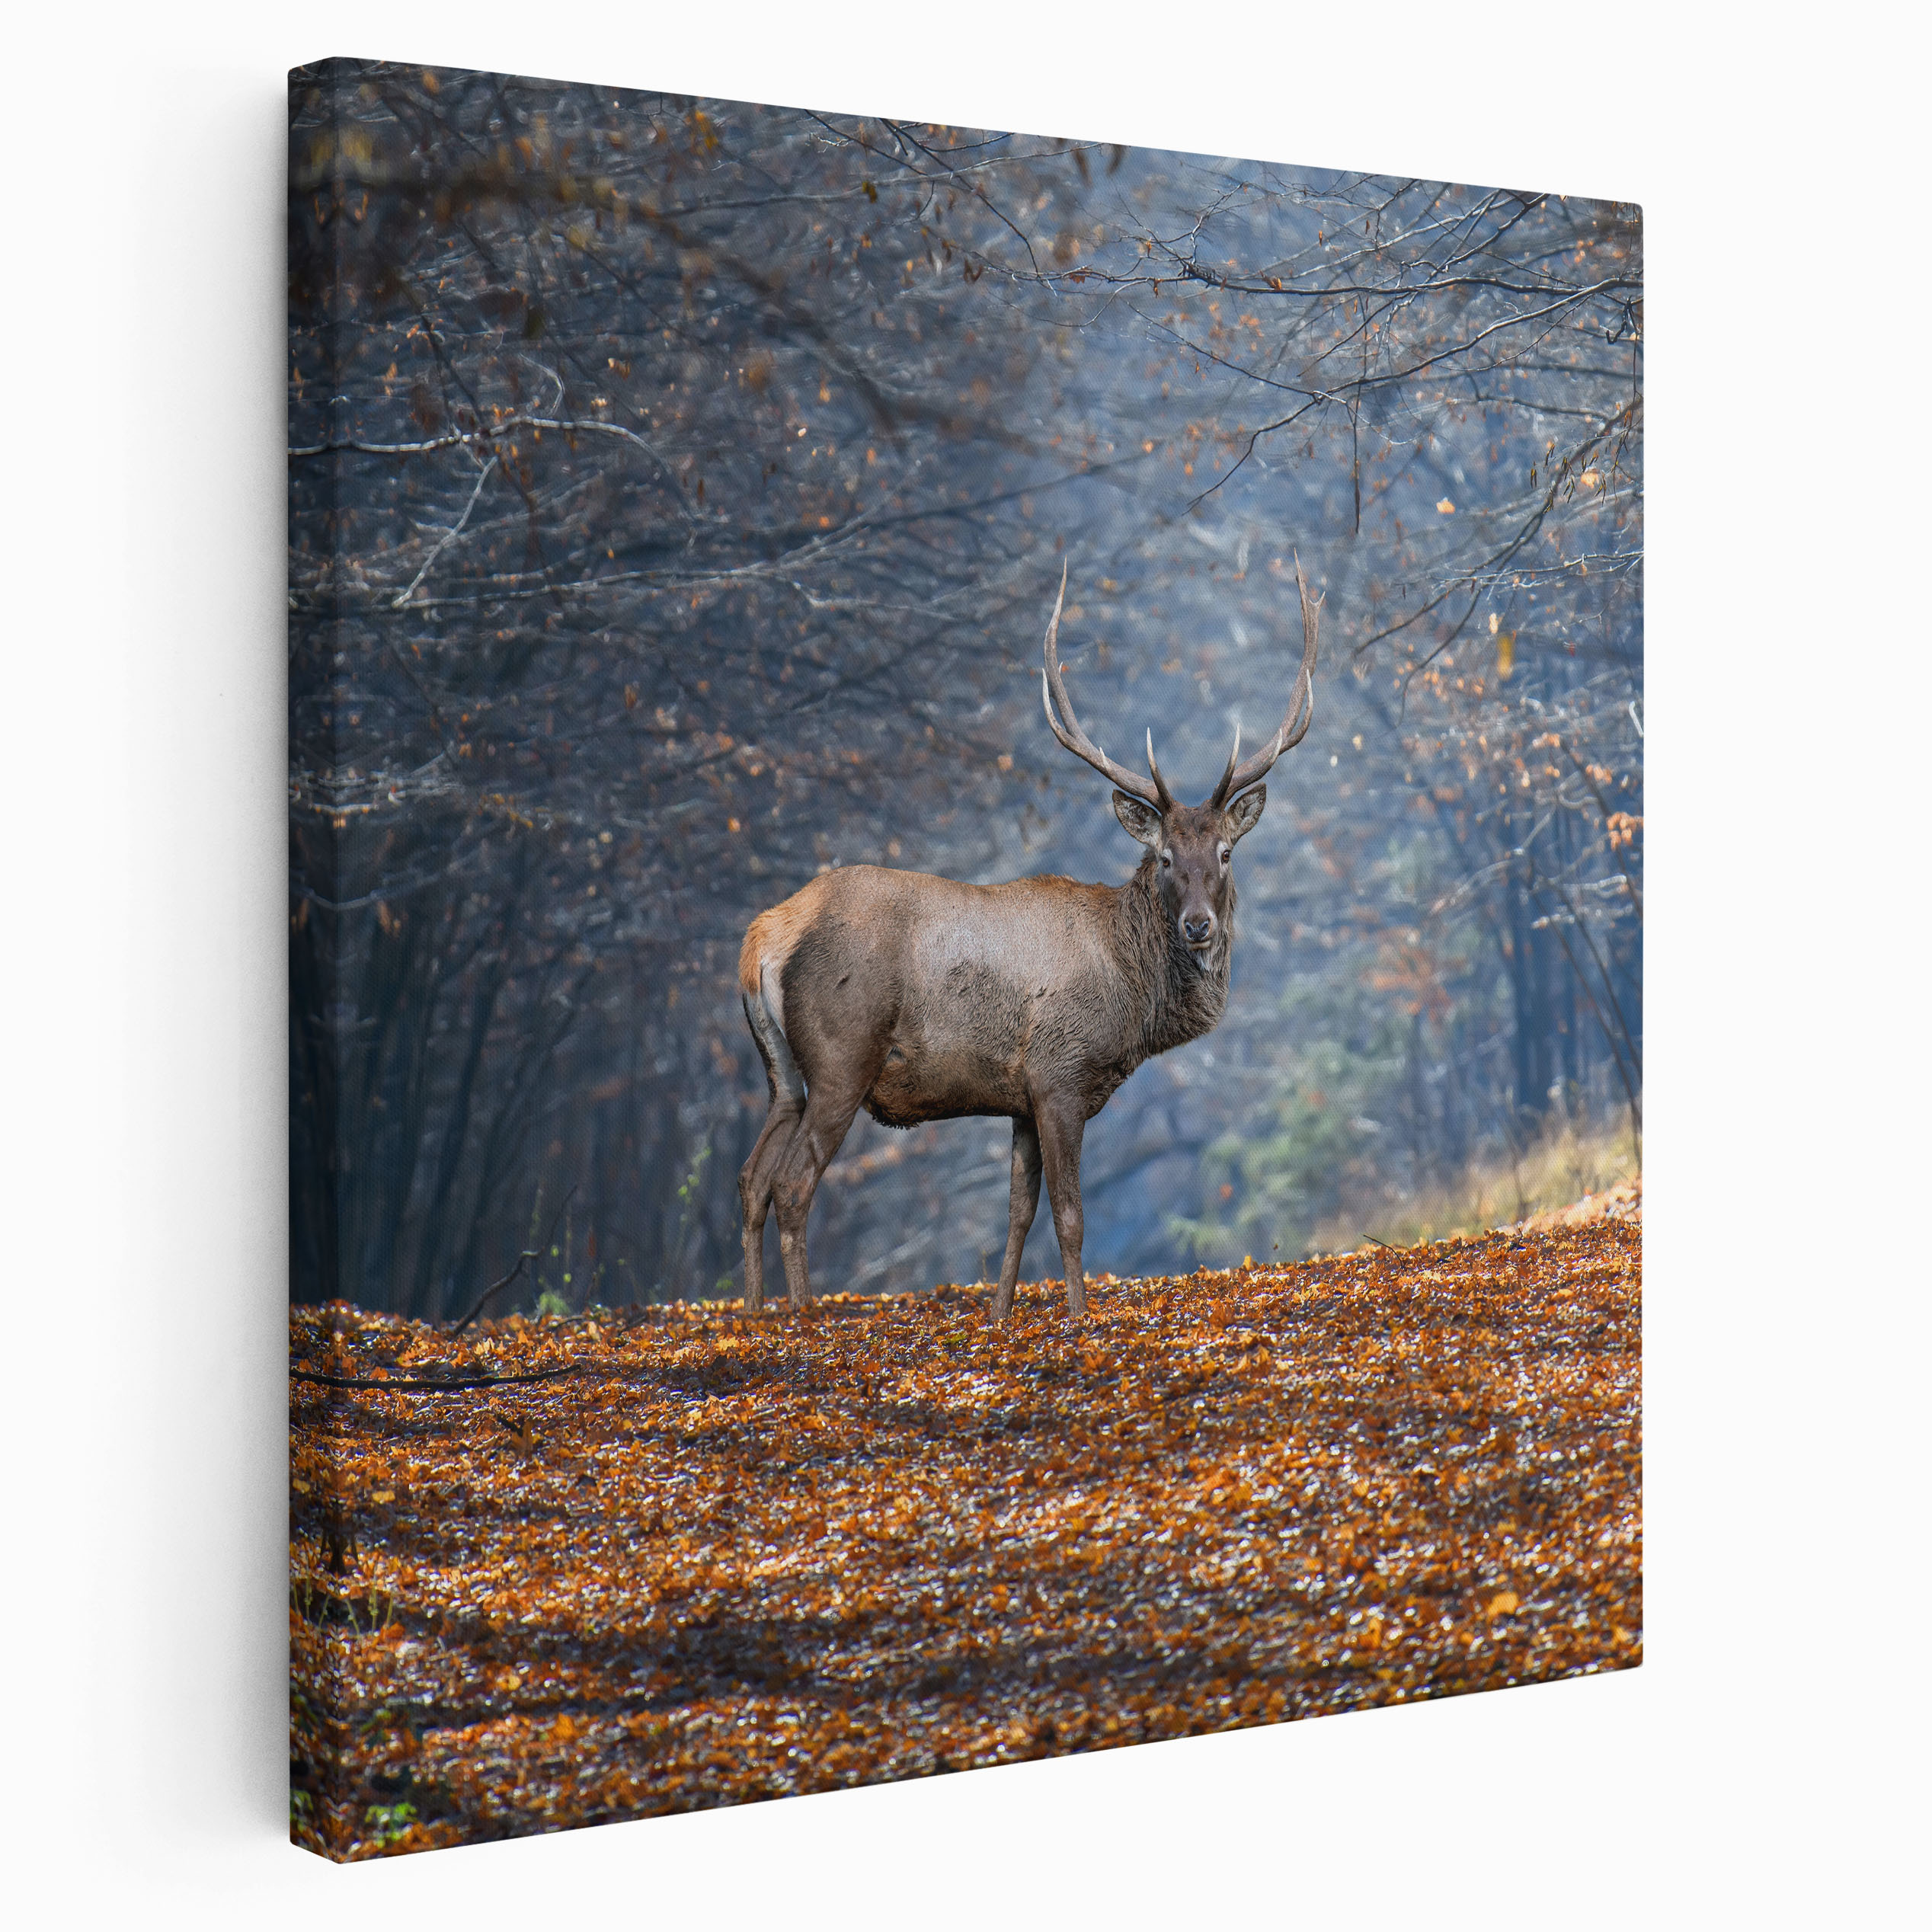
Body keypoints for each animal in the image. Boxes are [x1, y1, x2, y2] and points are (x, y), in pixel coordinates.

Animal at [735, 558, 1323, 1321]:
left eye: (1225, 852)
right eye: (1166, 858)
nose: (1199, 924)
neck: (1131, 996)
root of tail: (762, 940)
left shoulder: (1018, 1097)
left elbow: (1017, 1212)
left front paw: (998, 1315)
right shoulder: (1059, 1075)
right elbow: (1069, 1216)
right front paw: (1077, 1317)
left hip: (782, 1072)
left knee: (751, 1178)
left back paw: (753, 1316)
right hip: (840, 1055)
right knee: (792, 1184)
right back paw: (802, 1317)